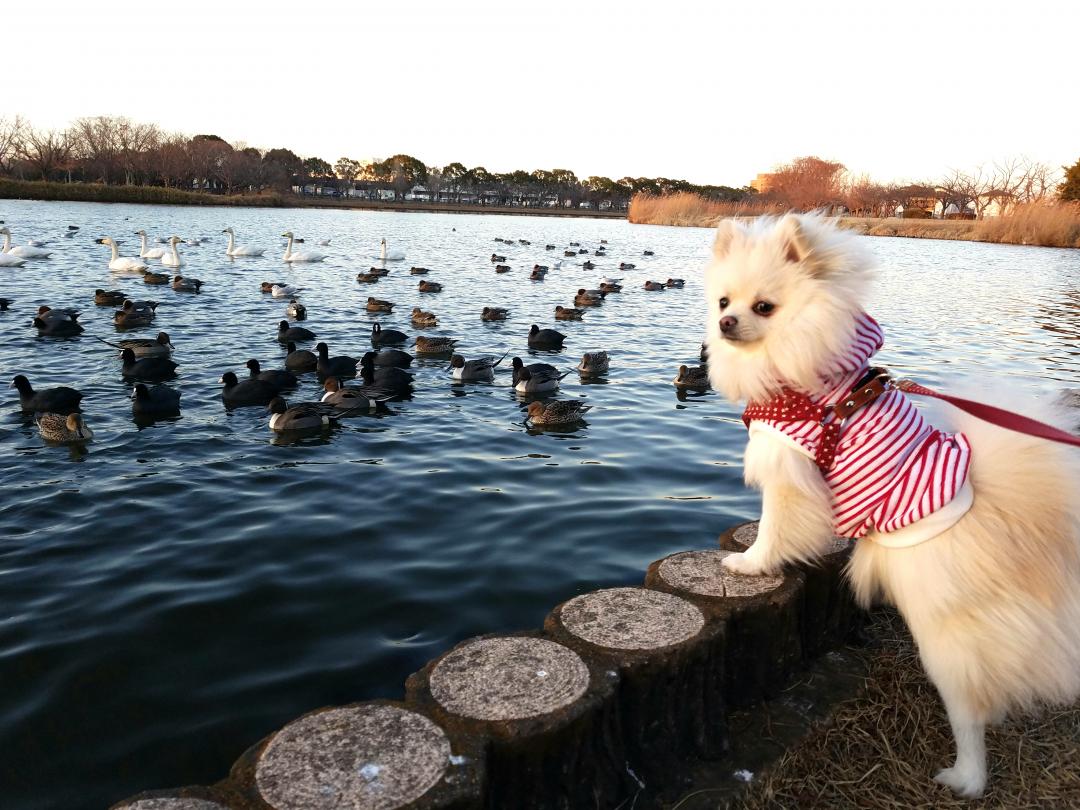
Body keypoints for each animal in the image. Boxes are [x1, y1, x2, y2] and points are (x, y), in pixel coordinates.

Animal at [699, 213, 1080, 799]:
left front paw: (750, 563)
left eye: (763, 307)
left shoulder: (790, 464)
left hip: (944, 638)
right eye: (723, 301)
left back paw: (965, 777)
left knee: (968, 711)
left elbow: (775, 525)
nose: (725, 323)